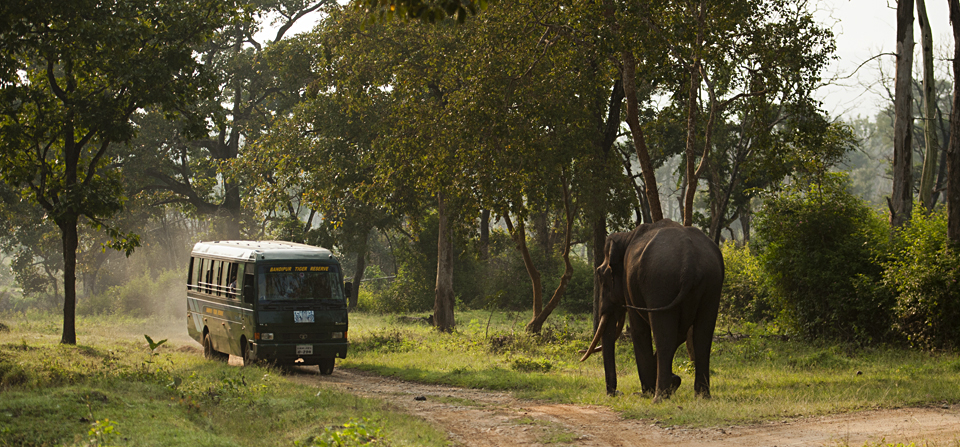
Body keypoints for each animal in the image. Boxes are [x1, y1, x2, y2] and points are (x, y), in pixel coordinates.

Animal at [576, 220, 720, 402]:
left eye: (601, 276)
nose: (616, 393)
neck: (626, 236)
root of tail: (690, 261)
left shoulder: (629, 285)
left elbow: (638, 330)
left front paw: (645, 393)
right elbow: (681, 334)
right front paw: (674, 383)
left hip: (659, 284)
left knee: (664, 337)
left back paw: (658, 397)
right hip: (712, 285)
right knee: (703, 337)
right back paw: (702, 396)